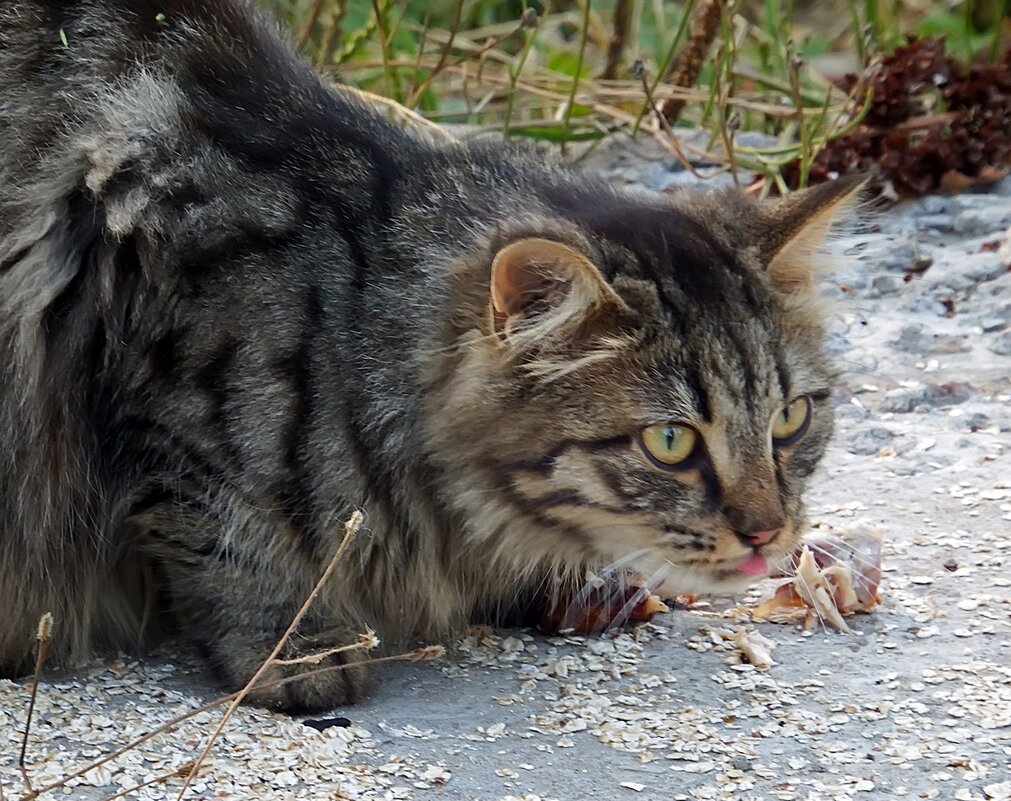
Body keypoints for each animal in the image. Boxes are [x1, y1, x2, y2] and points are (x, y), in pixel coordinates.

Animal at [1, 0, 861, 712]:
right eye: (671, 441)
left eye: (789, 418)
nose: (767, 532)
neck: (343, 328)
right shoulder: (163, 388)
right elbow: (227, 535)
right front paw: (292, 645)